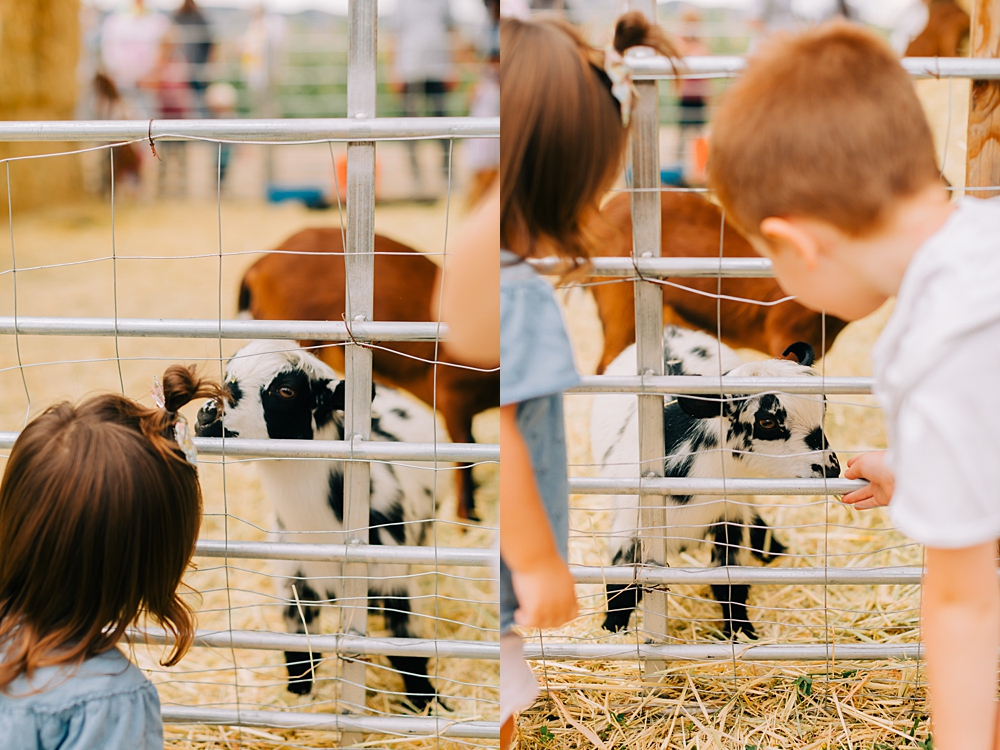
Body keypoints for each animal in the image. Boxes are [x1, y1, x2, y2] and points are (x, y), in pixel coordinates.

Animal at [195, 340, 442, 712]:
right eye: (227, 376)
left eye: (286, 391)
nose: (208, 414)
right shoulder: (294, 582)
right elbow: (299, 650)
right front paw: (298, 694)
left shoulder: (394, 577)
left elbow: (407, 650)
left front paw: (428, 703)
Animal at [588, 326, 840, 636]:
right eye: (767, 422)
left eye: (824, 407)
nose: (832, 467)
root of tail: (670, 330)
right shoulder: (630, 527)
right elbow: (621, 585)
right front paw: (611, 628)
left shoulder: (730, 519)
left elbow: (731, 584)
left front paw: (741, 631)